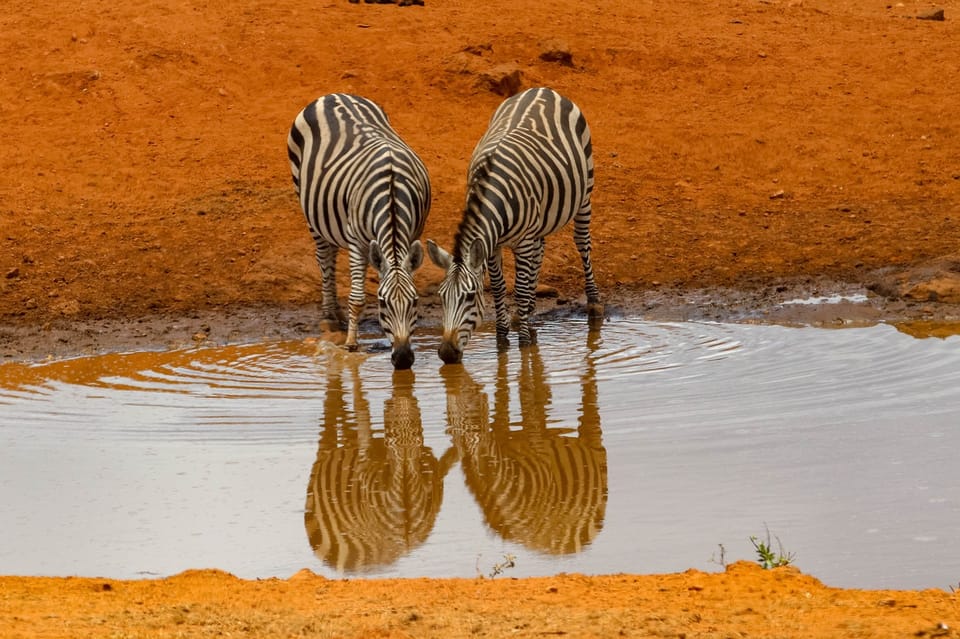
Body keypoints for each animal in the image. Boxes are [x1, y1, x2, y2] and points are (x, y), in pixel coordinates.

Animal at [286, 94, 430, 370]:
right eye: (382, 304)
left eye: (415, 302)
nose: (403, 359)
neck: (391, 192)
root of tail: (334, 94)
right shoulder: (357, 242)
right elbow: (357, 298)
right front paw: (351, 344)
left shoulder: (415, 232)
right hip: (309, 207)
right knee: (324, 258)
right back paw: (330, 315)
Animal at [426, 88, 600, 364]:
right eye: (442, 297)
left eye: (470, 297)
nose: (447, 353)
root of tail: (542, 89)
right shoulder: (493, 244)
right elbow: (499, 288)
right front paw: (503, 336)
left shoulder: (522, 241)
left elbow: (518, 288)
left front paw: (524, 341)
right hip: (541, 218)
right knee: (540, 252)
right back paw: (524, 313)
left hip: (585, 192)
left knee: (582, 243)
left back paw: (593, 303)